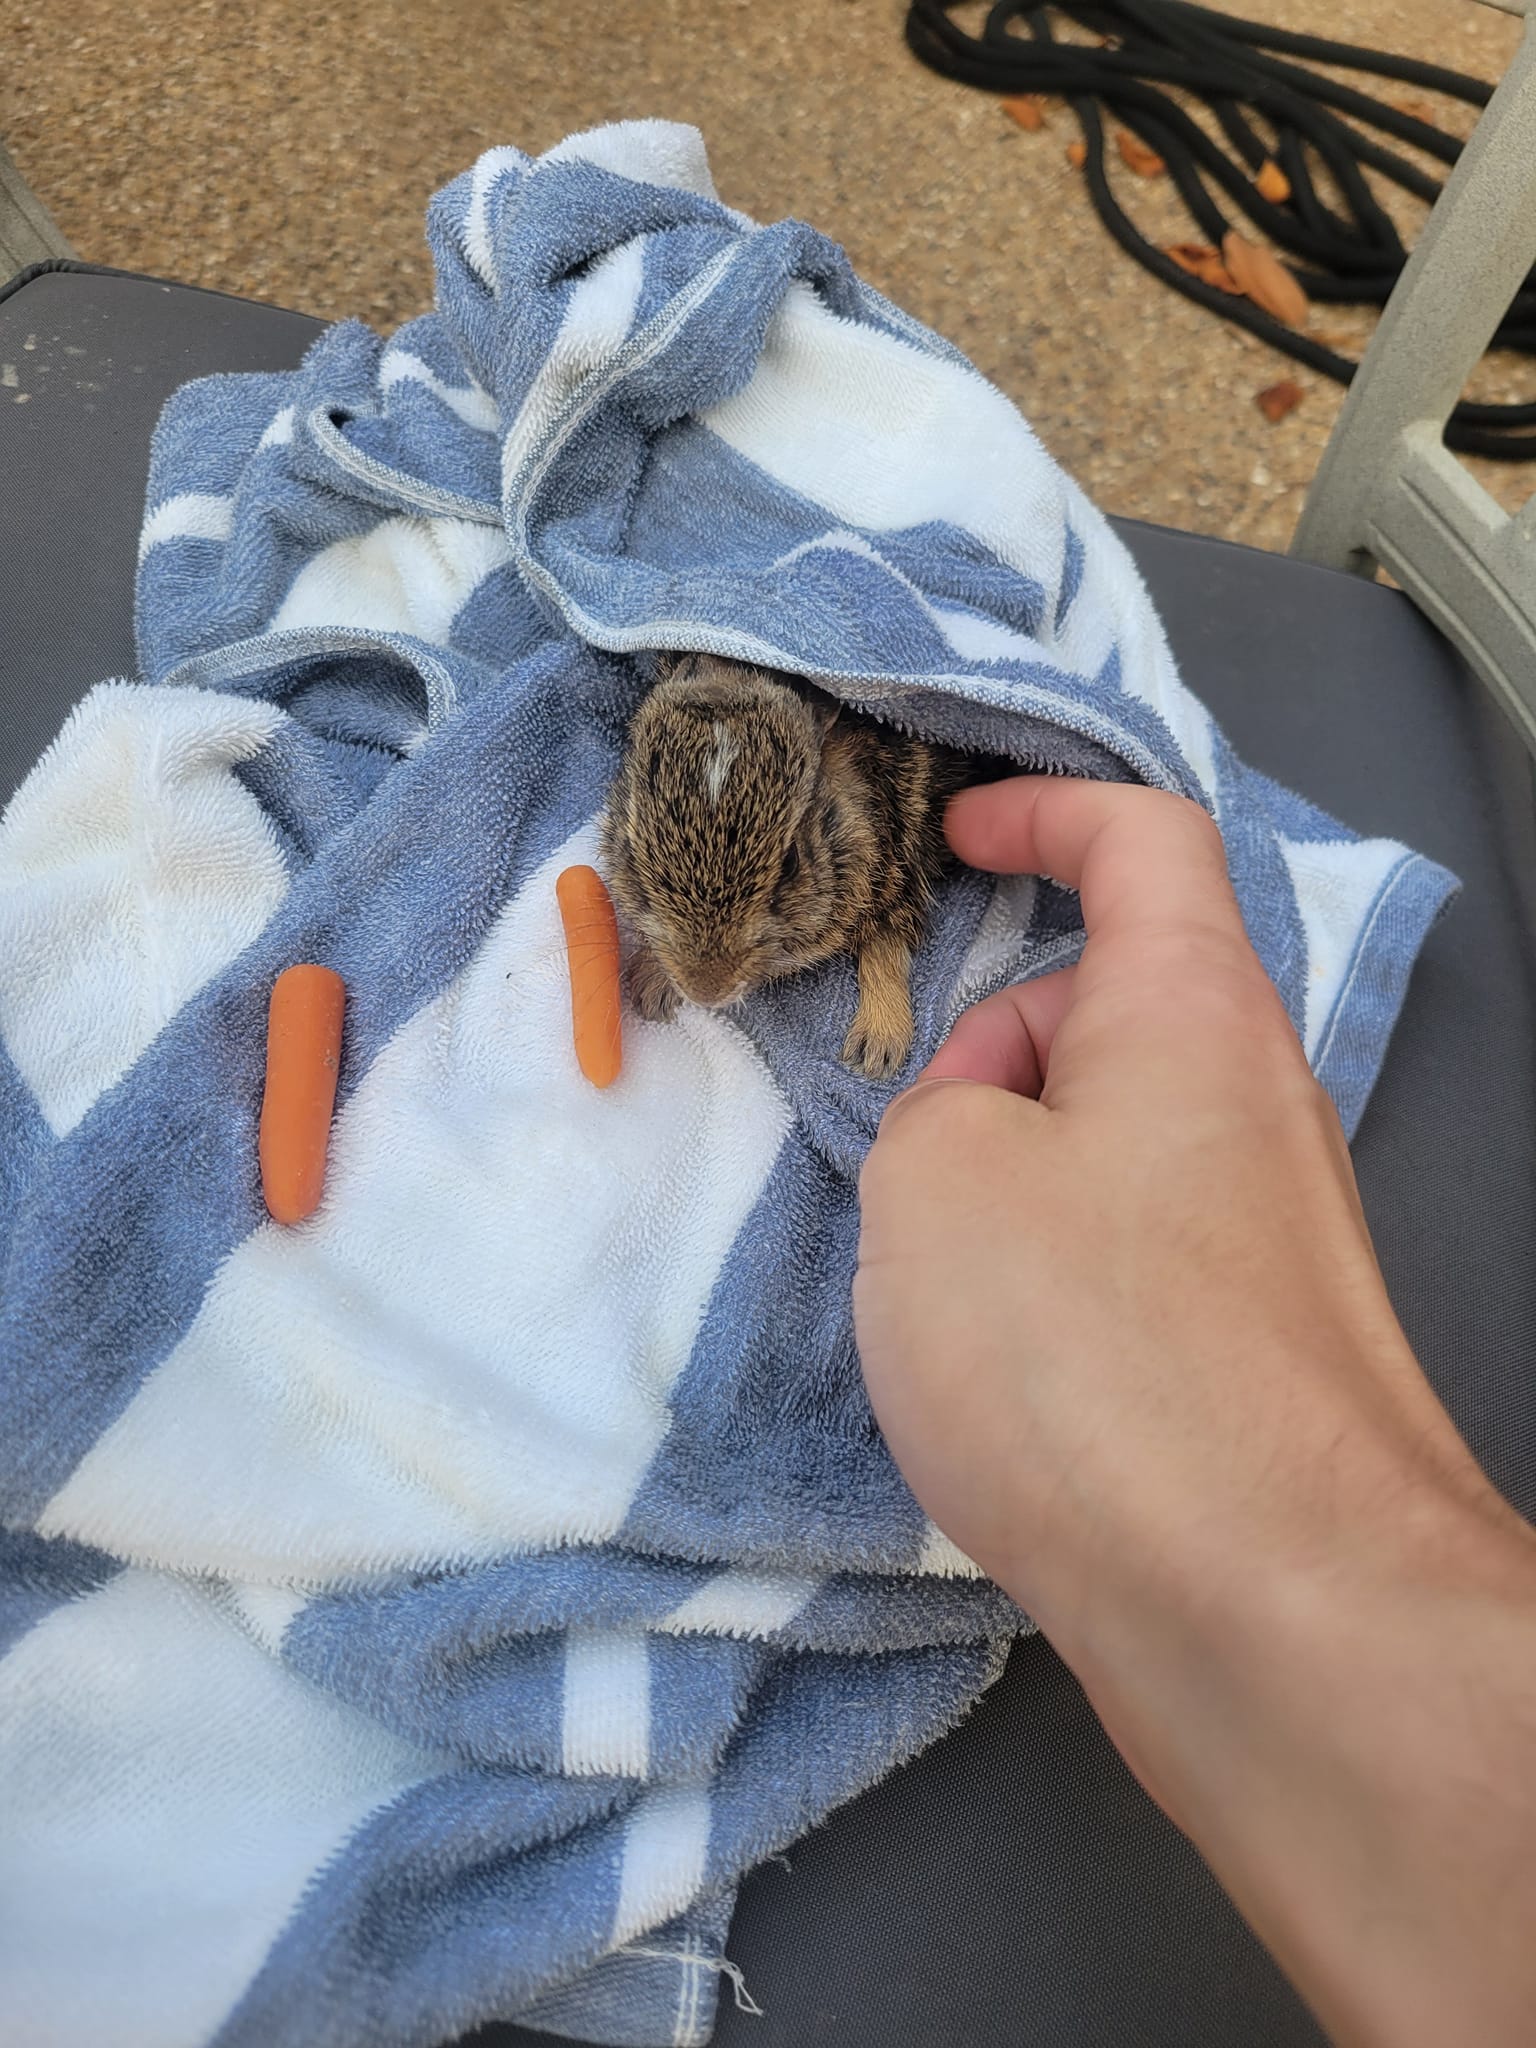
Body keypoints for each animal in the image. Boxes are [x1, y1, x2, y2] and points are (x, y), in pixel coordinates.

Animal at [600, 652, 978, 1079]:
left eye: (791, 861)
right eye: (631, 853)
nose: (707, 989)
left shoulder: (900, 861)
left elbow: (884, 947)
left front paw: (877, 1048)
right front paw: (650, 982)